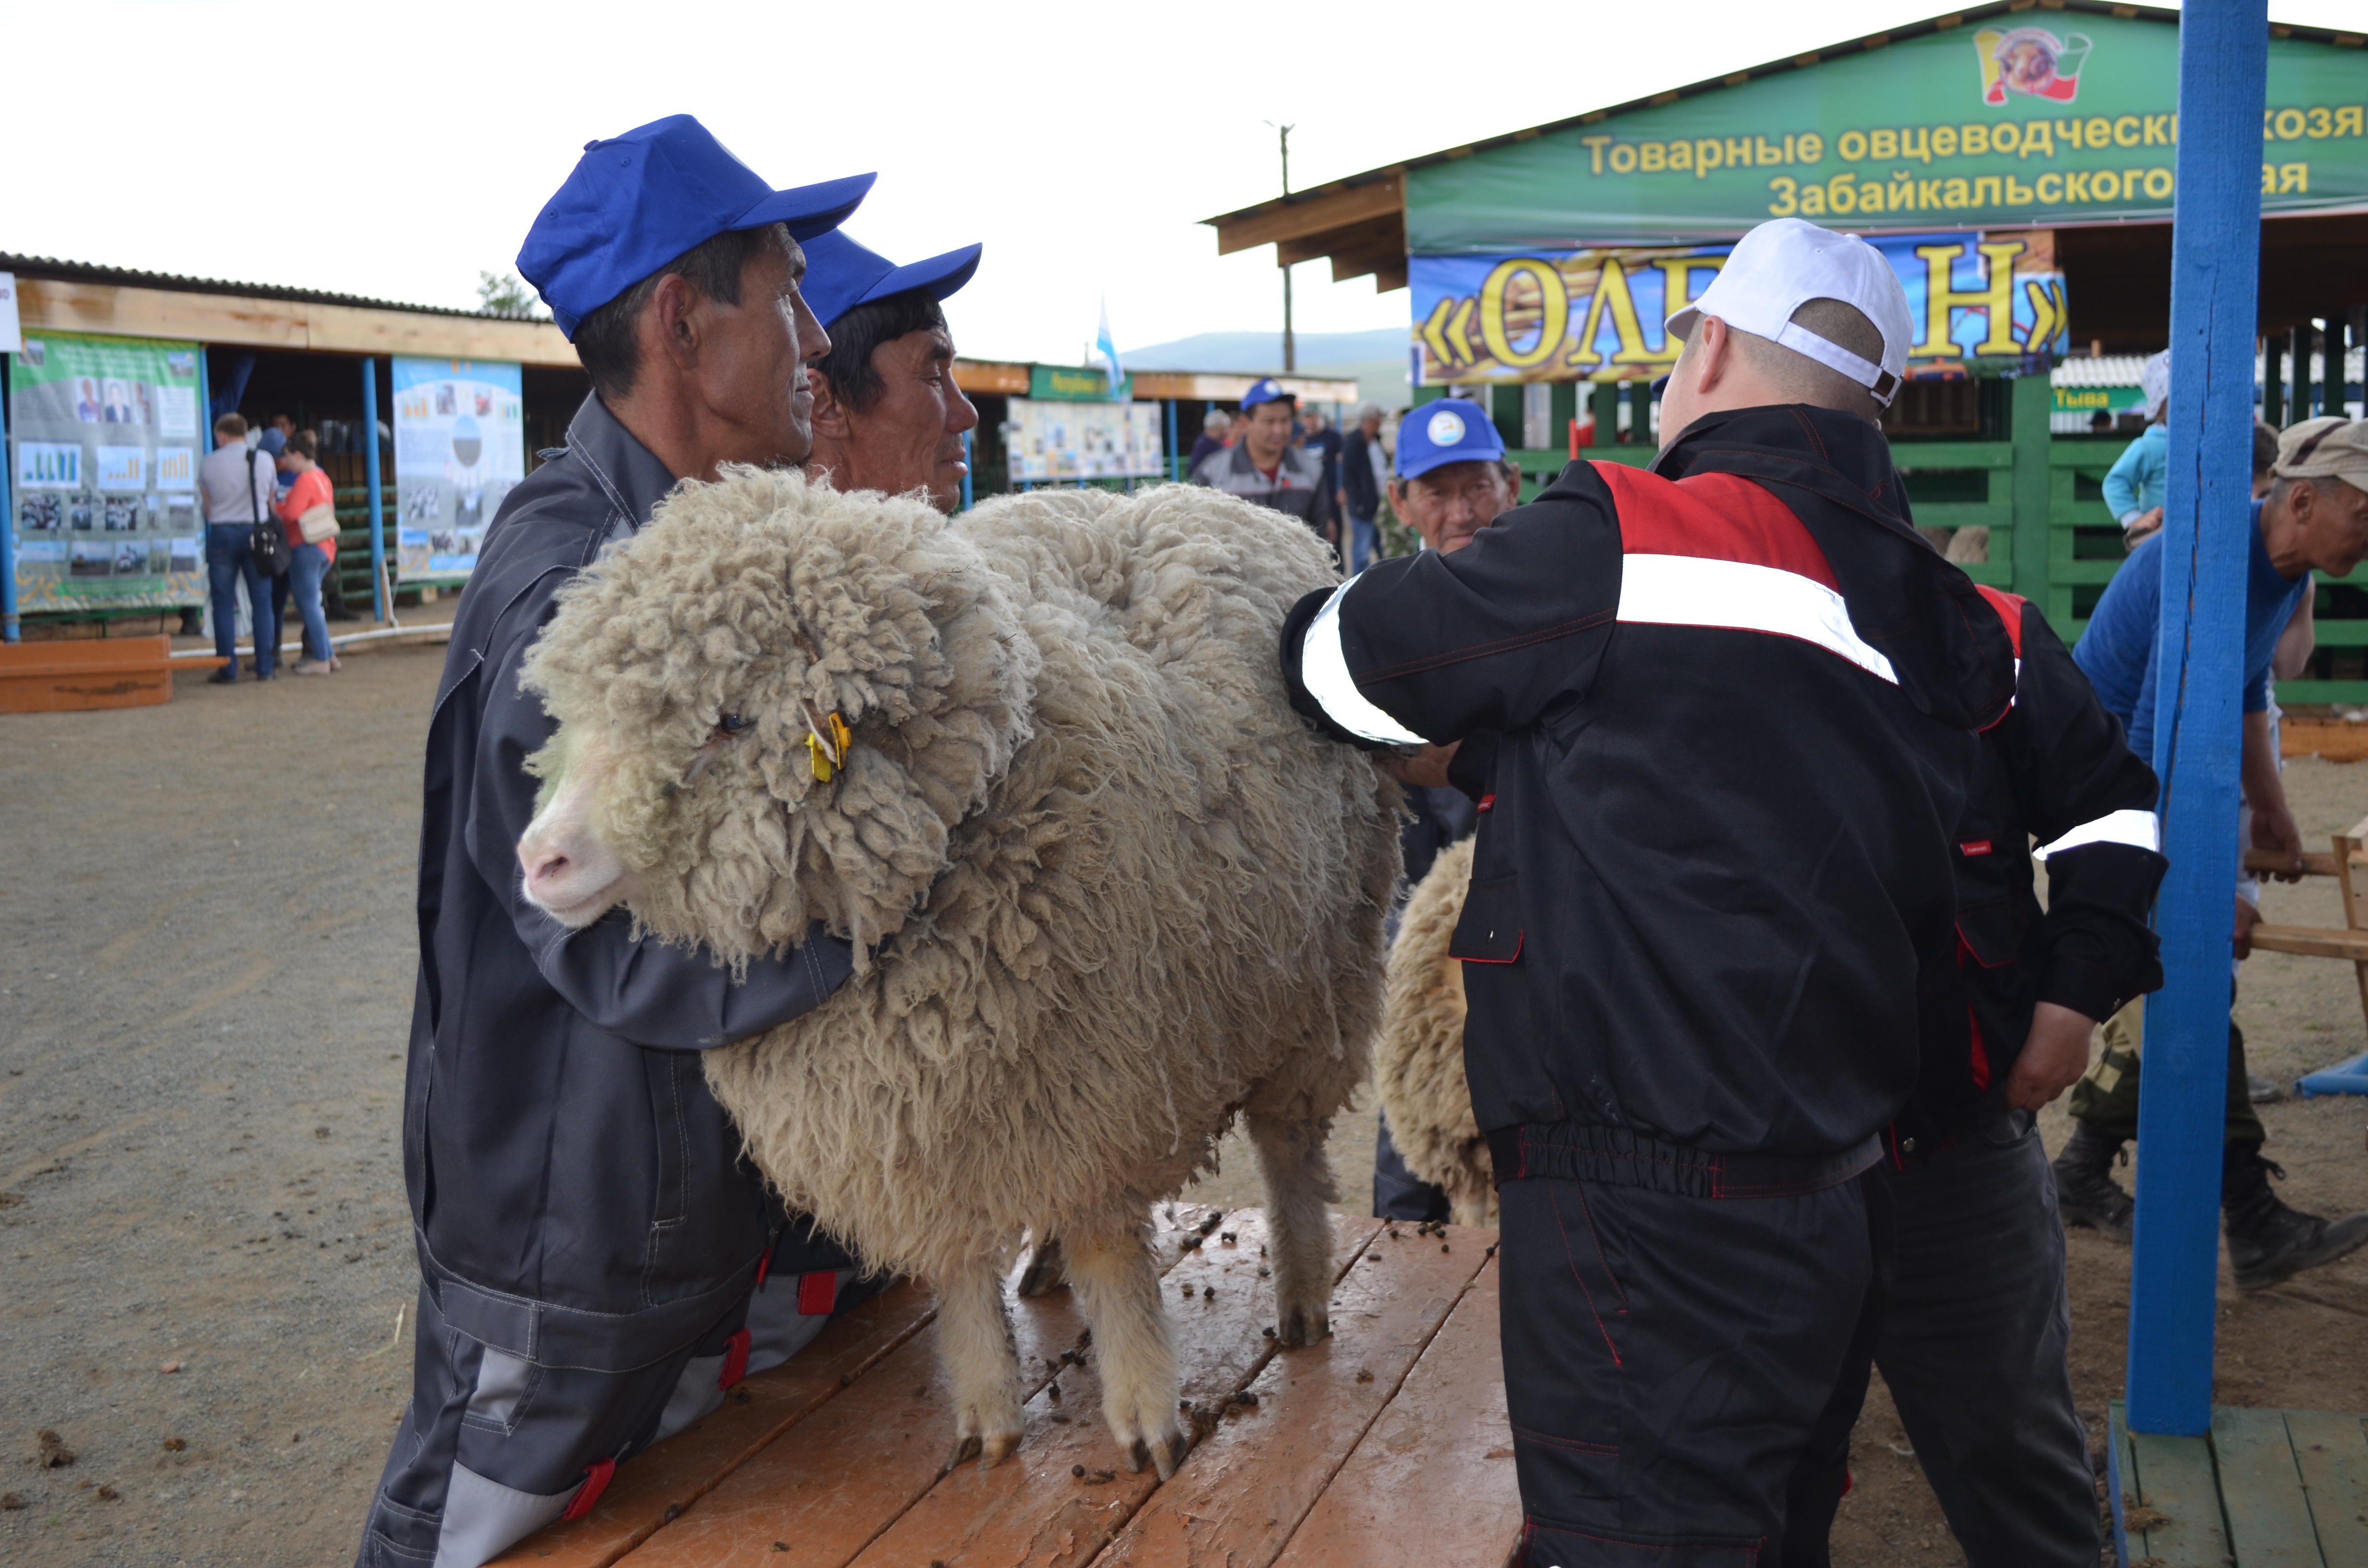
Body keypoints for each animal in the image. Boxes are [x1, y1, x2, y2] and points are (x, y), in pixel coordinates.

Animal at [514, 474, 1402, 1478]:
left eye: (731, 721)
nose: (539, 859)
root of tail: (1197, 494)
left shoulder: (1104, 1077)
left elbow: (1110, 1248)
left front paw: (1145, 1407)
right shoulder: (924, 1120)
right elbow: (956, 1264)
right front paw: (985, 1408)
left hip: (1317, 981)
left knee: (1287, 1146)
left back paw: (1302, 1292)